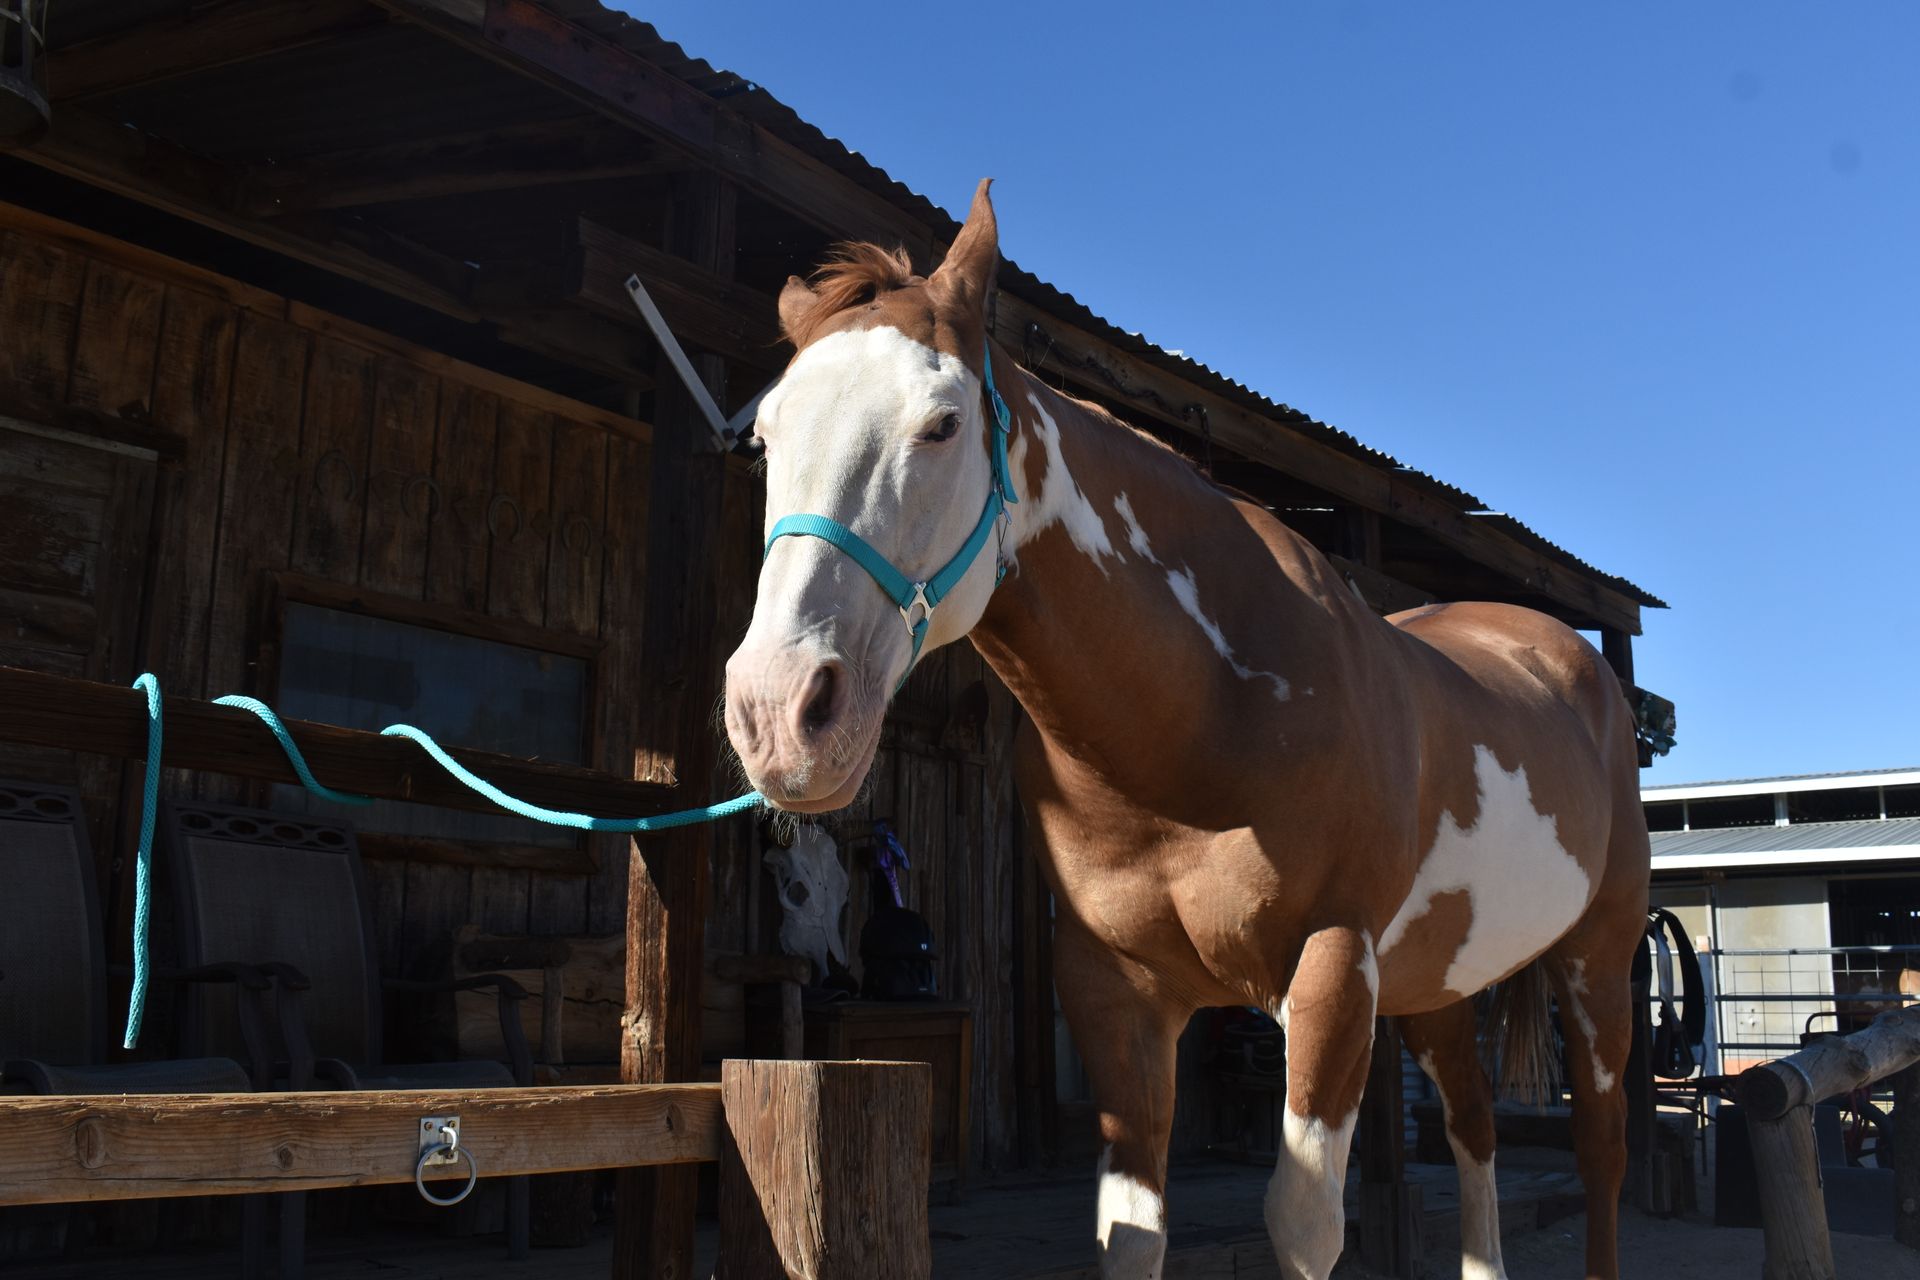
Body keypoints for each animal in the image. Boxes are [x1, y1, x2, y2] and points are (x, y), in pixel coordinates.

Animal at [722, 179, 1652, 1280]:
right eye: (766, 440)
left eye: (943, 423)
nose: (778, 711)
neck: (1203, 718)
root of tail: (1577, 660)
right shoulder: (1115, 994)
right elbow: (1130, 1232)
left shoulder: (1333, 972)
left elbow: (1305, 1224)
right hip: (1438, 986)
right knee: (1475, 1130)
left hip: (1598, 962)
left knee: (1603, 1150)